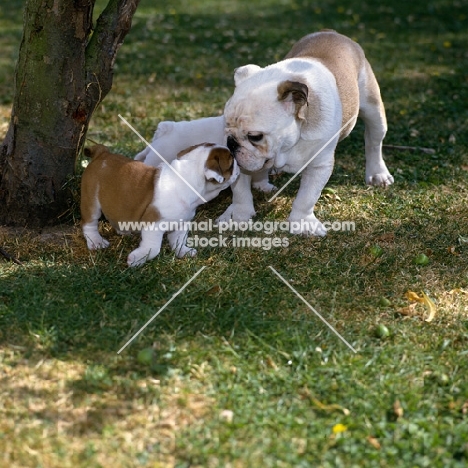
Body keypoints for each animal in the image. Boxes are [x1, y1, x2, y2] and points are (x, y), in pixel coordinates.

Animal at [81, 143, 239, 266]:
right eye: (231, 163)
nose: (238, 165)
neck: (187, 180)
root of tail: (102, 154)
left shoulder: (181, 223)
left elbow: (179, 239)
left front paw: (183, 251)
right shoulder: (153, 224)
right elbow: (153, 247)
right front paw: (137, 259)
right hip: (91, 199)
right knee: (89, 223)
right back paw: (96, 242)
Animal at [221, 30, 394, 234]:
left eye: (255, 137)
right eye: (226, 129)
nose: (231, 143)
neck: (289, 145)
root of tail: (332, 33)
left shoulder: (319, 165)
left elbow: (307, 196)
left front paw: (302, 223)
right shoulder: (242, 165)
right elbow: (240, 191)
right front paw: (238, 215)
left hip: (373, 109)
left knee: (374, 142)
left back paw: (377, 174)